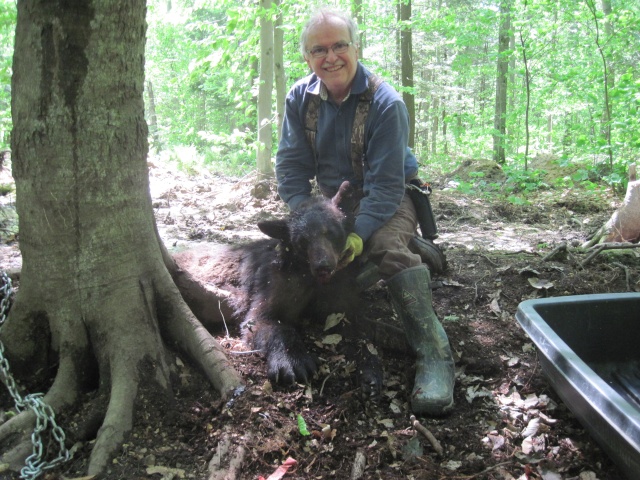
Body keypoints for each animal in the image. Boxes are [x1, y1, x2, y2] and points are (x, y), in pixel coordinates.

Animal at [169, 182, 376, 388]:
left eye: (331, 232)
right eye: (302, 241)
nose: (322, 266)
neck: (309, 276)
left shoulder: (338, 291)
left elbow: (355, 325)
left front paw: (370, 369)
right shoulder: (276, 283)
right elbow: (263, 320)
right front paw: (293, 361)